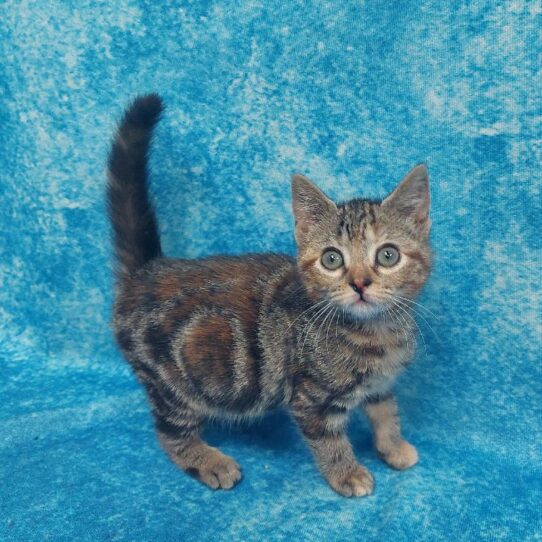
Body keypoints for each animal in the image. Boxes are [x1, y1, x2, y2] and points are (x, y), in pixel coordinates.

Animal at [108, 95, 434, 500]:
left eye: (388, 255)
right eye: (332, 259)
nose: (360, 283)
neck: (375, 331)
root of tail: (147, 272)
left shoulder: (380, 384)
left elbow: (386, 412)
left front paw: (394, 447)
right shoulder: (311, 400)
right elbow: (329, 441)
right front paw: (347, 473)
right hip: (171, 384)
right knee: (169, 433)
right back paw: (209, 460)